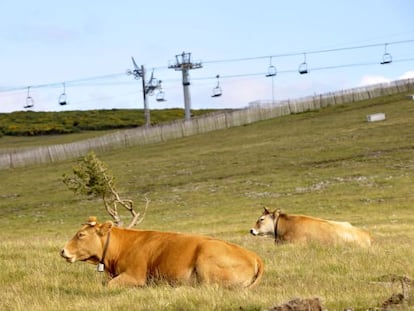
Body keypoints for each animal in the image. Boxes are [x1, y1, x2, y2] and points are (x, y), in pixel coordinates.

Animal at [59, 218, 264, 288]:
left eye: (81, 234)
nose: (62, 251)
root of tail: (254, 256)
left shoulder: (135, 276)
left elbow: (108, 285)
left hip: (206, 258)